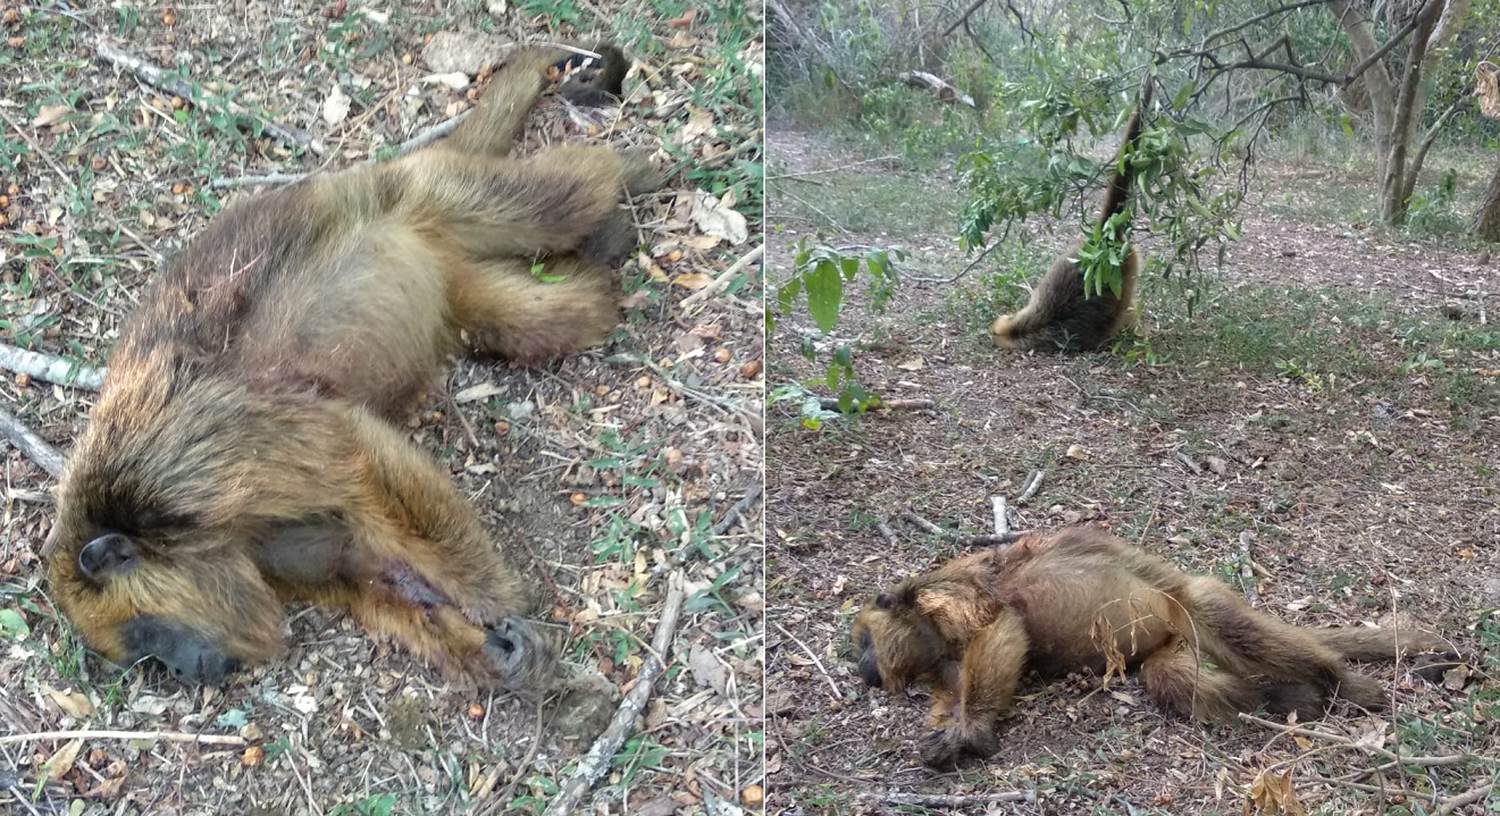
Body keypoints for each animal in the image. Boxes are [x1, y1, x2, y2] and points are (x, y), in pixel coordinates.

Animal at [48, 39, 663, 690]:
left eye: (148, 634)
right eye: (148, 656)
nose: (186, 670)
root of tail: (365, 174)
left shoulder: (184, 463)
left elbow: (360, 452)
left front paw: (491, 596)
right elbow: (358, 567)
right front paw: (487, 652)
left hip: (424, 190)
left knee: (563, 199)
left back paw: (622, 176)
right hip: (450, 266)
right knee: (544, 318)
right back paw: (601, 257)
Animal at [858, 528, 1452, 774]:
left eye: (864, 640)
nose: (863, 669)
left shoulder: (945, 593)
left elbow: (1003, 623)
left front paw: (971, 730)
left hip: (1184, 605)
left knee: (1219, 617)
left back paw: (1336, 680)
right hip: (1172, 644)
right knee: (1172, 679)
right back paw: (1291, 698)